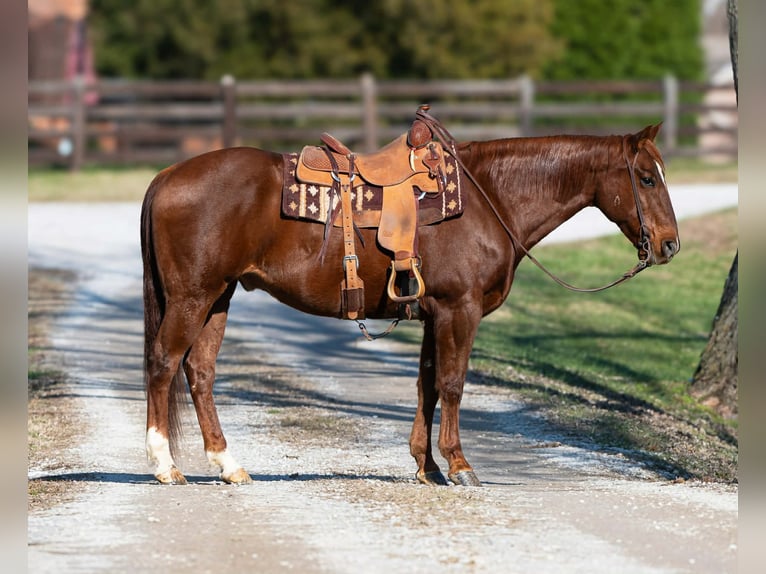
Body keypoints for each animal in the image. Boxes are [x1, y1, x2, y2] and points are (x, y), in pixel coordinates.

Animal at [140, 119, 679, 487]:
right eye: (646, 179)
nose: (670, 245)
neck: (490, 200)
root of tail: (166, 176)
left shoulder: (432, 314)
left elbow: (427, 386)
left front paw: (428, 466)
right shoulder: (459, 310)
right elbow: (453, 384)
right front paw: (459, 465)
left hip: (218, 297)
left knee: (200, 372)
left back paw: (228, 465)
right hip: (193, 297)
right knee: (164, 363)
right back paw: (165, 465)